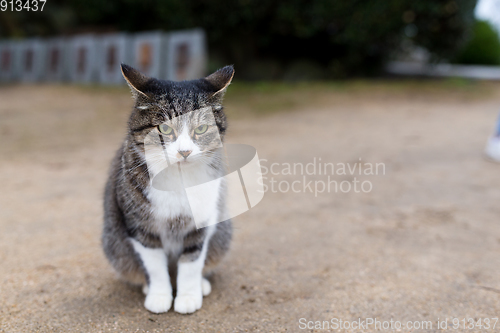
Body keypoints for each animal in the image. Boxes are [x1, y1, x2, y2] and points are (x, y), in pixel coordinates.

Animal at [102, 63, 235, 312]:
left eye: (201, 129)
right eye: (164, 128)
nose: (184, 151)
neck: (178, 179)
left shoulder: (201, 223)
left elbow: (191, 263)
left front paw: (188, 296)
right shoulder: (140, 226)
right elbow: (155, 266)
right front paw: (159, 296)